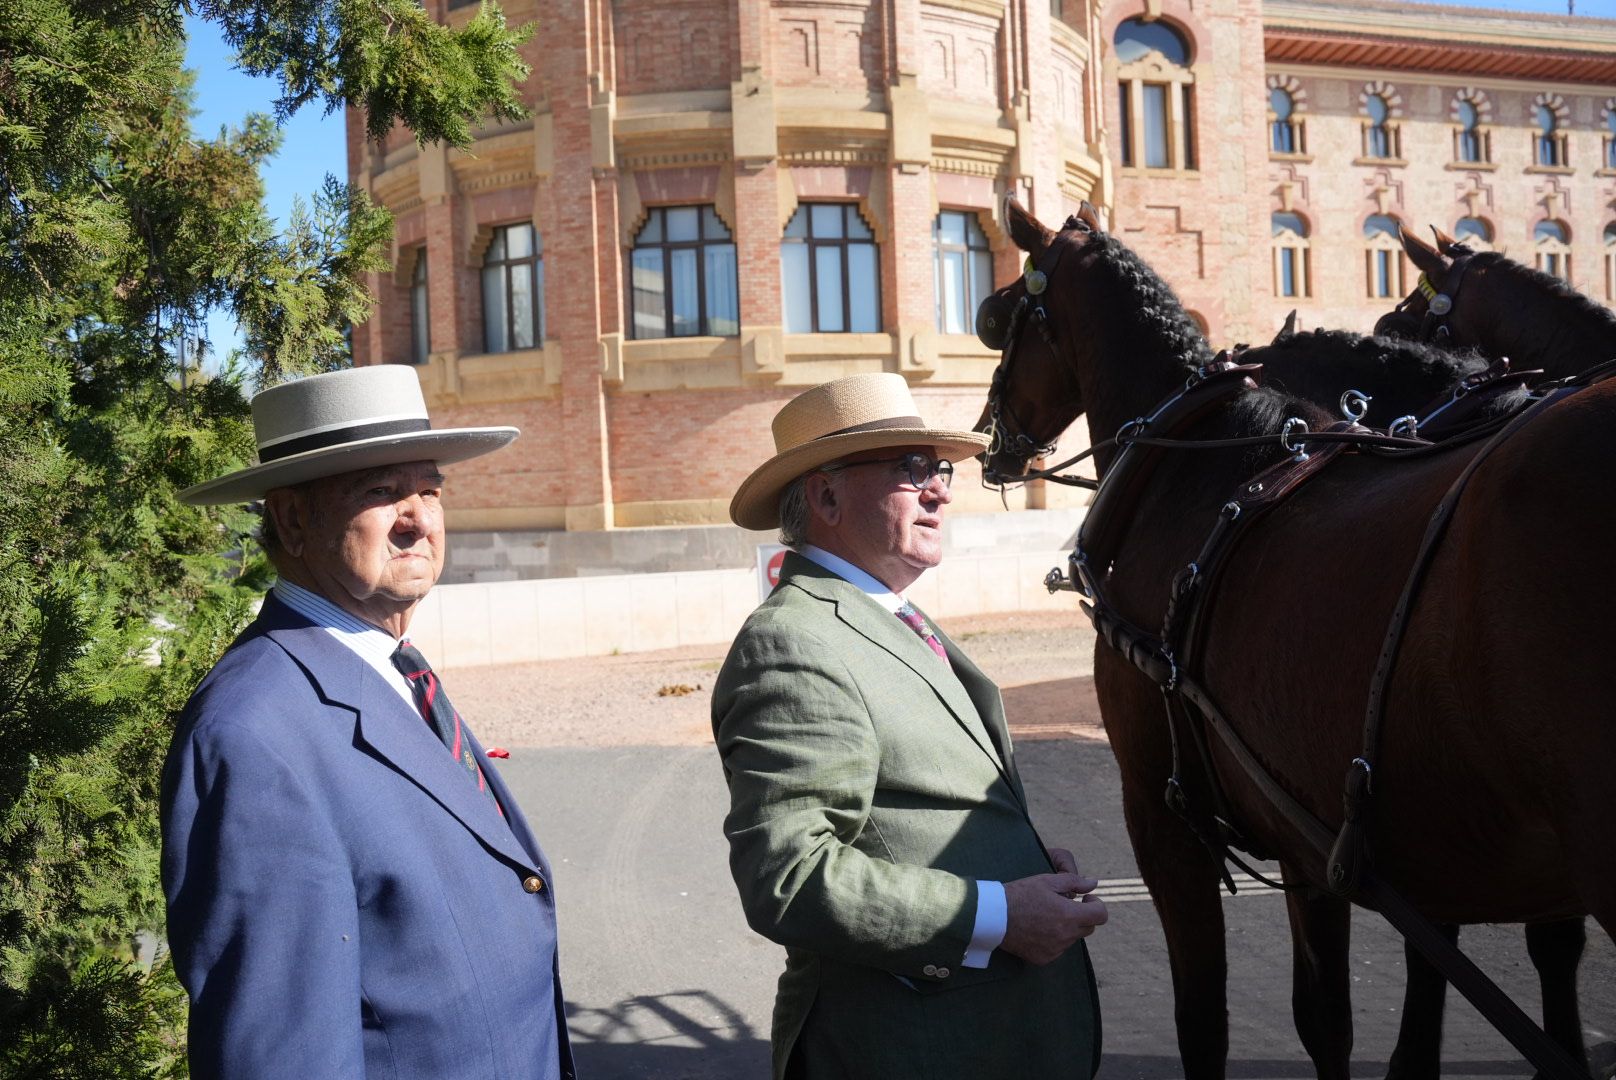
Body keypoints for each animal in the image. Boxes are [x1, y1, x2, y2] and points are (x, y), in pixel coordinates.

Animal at [969, 198, 1616, 1073]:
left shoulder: (1164, 819)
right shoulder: (1306, 825)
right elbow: (1326, 1017)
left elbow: (1203, 1020)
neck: (1195, 463)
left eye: (998, 316)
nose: (988, 438)